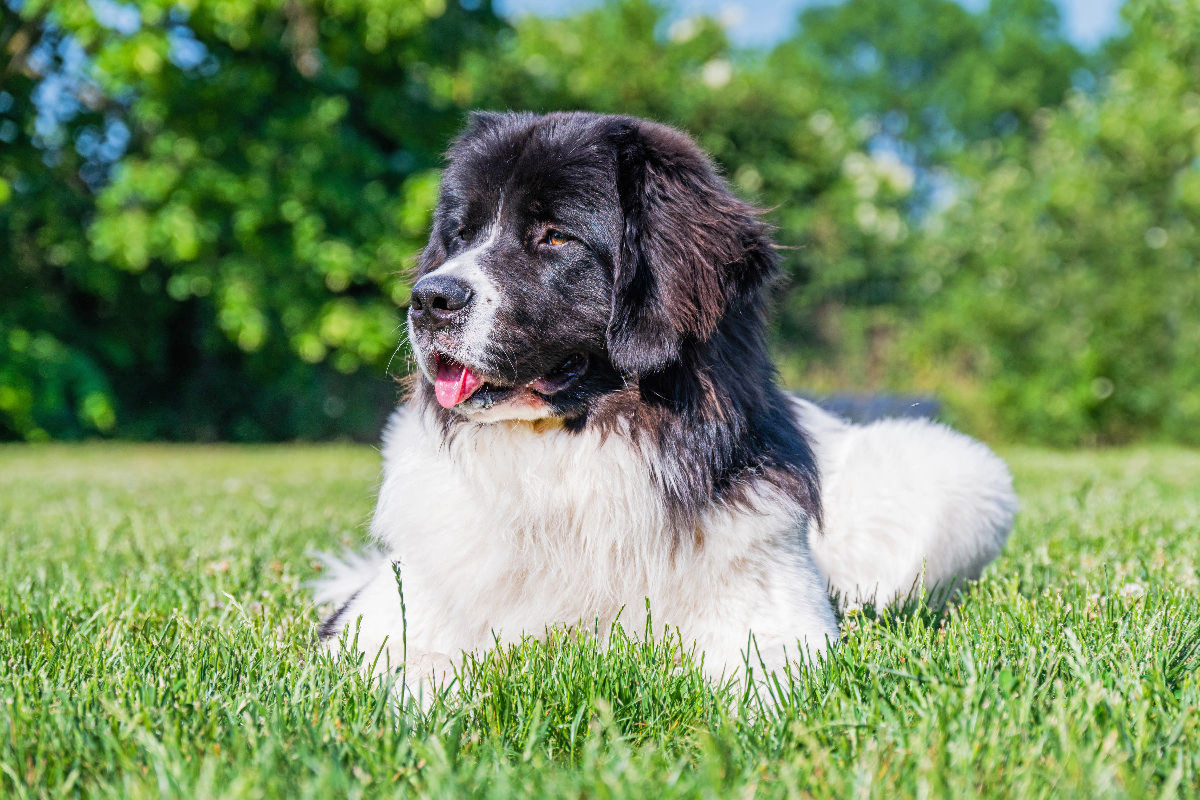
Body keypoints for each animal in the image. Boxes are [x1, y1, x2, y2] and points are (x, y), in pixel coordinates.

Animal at [314, 112, 1017, 695]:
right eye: (459, 236)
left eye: (556, 238)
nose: (428, 299)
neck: (571, 455)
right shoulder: (378, 621)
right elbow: (417, 664)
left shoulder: (776, 615)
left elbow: (767, 677)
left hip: (959, 480)